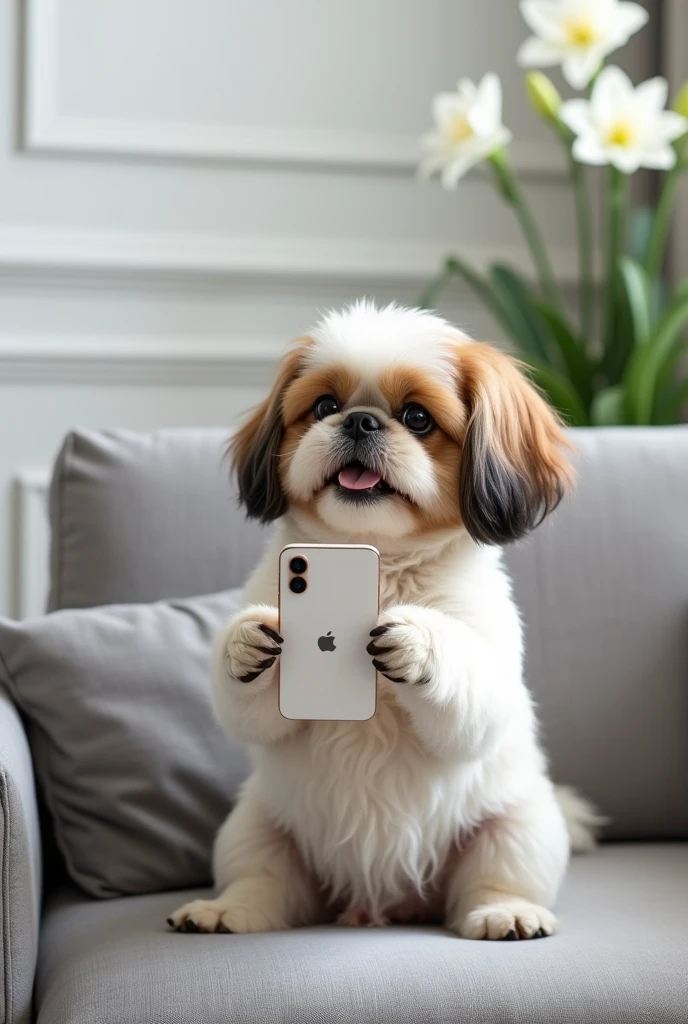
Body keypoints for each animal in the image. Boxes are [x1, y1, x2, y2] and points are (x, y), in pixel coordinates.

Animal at [168, 299, 597, 937]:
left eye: (417, 418)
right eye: (325, 407)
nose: (362, 422)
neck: (379, 561)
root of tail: (381, 900)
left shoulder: (487, 678)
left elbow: (471, 700)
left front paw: (417, 642)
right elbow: (249, 713)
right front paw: (246, 643)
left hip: (518, 828)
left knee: (496, 880)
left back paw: (508, 912)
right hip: (255, 827)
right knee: (262, 884)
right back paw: (225, 911)